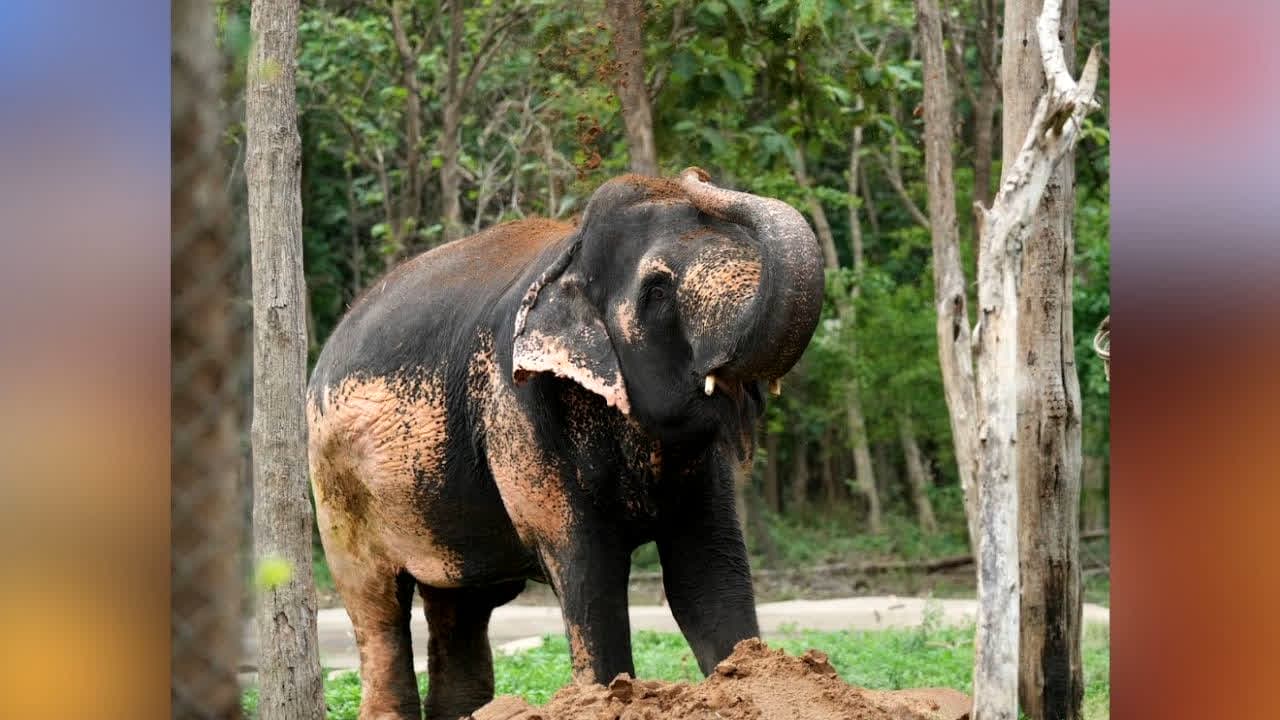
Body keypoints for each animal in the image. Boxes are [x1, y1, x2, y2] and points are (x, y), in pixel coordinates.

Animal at [306, 167, 825, 720]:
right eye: (658, 291)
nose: (694, 175)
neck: (570, 253)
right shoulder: (519, 412)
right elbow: (590, 573)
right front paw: (610, 694)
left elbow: (705, 571)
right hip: (338, 491)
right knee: (377, 606)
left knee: (461, 606)